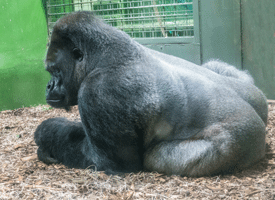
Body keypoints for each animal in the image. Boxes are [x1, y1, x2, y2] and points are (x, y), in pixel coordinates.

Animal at [33, 11, 268, 177]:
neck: (100, 57)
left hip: (239, 141)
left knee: (154, 157)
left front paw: (47, 135)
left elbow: (108, 162)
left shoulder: (99, 91)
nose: (48, 86)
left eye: (54, 70)